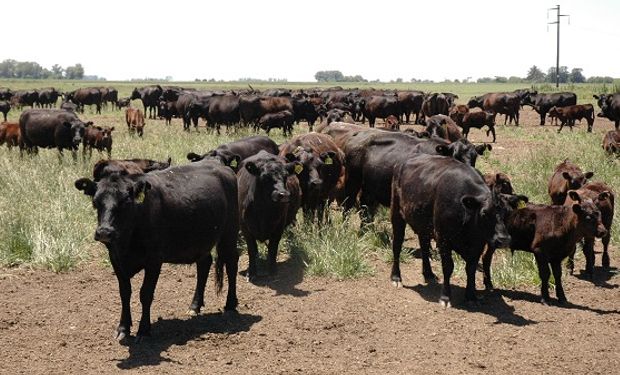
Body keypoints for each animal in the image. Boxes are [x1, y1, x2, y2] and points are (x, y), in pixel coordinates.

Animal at [75, 162, 240, 340]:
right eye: (96, 202)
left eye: (126, 201)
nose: (104, 232)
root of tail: (220, 166)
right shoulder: (116, 259)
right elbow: (124, 293)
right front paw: (123, 328)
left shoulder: (154, 260)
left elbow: (145, 294)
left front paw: (143, 330)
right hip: (200, 241)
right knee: (204, 264)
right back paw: (194, 306)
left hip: (229, 232)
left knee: (232, 264)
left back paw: (230, 304)